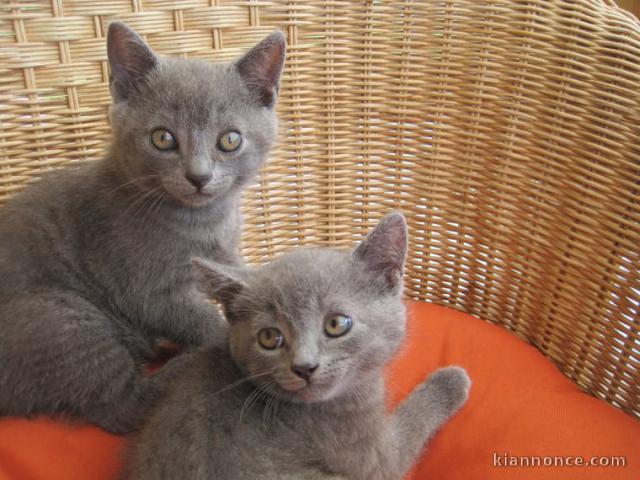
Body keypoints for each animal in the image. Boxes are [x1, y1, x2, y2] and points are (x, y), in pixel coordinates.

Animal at [0, 23, 284, 436]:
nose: (199, 176)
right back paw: (185, 364)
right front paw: (224, 340)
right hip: (61, 318)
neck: (205, 221)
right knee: (120, 405)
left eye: (229, 140)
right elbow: (201, 320)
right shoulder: (148, 289)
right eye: (163, 138)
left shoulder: (227, 254)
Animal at [122, 214, 470, 480]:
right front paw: (451, 380)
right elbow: (414, 421)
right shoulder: (374, 457)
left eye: (336, 323)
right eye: (269, 337)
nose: (304, 367)